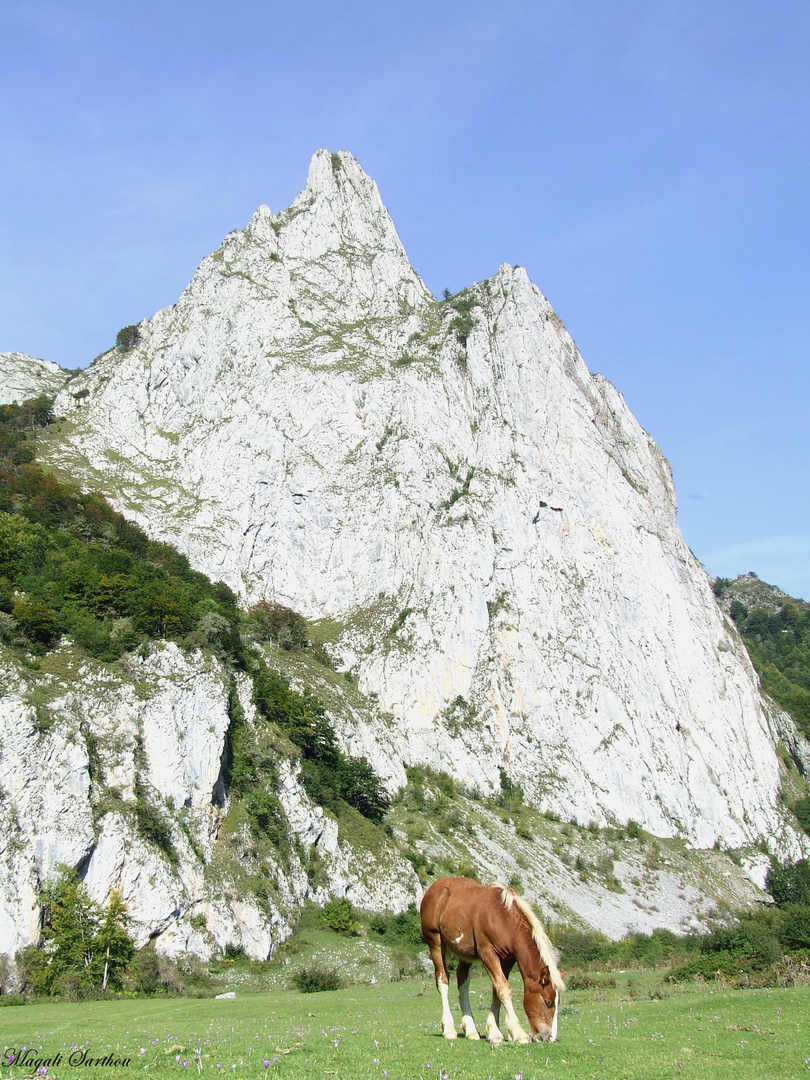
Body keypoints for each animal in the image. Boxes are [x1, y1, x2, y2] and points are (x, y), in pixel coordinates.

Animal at [419, 876, 565, 1045]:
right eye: (547, 1002)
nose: (551, 1037)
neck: (502, 918)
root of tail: (434, 887)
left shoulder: (507, 959)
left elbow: (497, 990)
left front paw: (495, 1032)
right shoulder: (487, 953)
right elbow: (503, 989)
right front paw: (518, 1034)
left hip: (465, 953)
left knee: (462, 981)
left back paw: (471, 1030)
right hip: (435, 941)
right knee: (443, 980)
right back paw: (449, 1029)